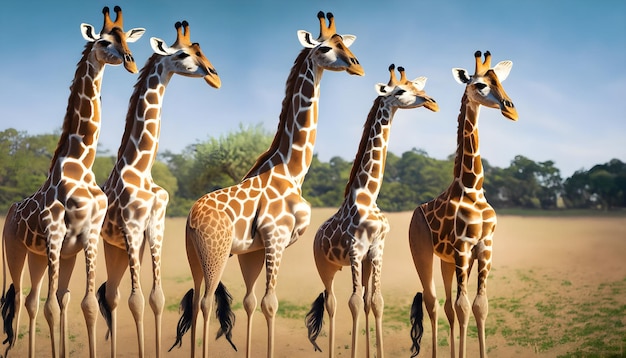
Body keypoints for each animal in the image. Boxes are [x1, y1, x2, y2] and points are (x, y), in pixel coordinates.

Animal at [0, 6, 144, 358]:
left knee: (34, 299)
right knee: (20, 299)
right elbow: (54, 306)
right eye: (104, 41)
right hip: (15, 250)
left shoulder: (87, 236)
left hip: (43, 255)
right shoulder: (55, 233)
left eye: (126, 38)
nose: (131, 61)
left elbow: (84, 303)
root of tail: (10, 211)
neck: (79, 165)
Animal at [97, 20, 222, 358]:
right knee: (111, 296)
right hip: (110, 244)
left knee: (112, 294)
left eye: (200, 49)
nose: (214, 76)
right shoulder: (130, 226)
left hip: (121, 248)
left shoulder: (155, 225)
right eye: (182, 54)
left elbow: (157, 298)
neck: (141, 168)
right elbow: (137, 300)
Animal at [169, 11, 366, 358]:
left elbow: (250, 302)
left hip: (194, 255)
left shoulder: (253, 249)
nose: (357, 65)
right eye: (326, 48)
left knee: (195, 301)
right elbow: (270, 303)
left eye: (345, 42)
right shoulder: (276, 237)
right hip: (214, 254)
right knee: (205, 302)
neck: (292, 170)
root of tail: (191, 219)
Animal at [304, 65, 436, 358]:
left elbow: (375, 301)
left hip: (360, 264)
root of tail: (315, 236)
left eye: (417, 86)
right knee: (332, 302)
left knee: (362, 300)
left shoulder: (375, 250)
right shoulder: (355, 248)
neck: (368, 194)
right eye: (400, 91)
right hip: (324, 265)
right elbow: (353, 302)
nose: (431, 102)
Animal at [404, 51, 516, 358]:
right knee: (432, 302)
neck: (473, 187)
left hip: (446, 260)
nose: (511, 109)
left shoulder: (485, 246)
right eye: (479, 84)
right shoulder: (464, 246)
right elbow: (465, 306)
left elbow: (479, 305)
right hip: (422, 251)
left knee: (446, 306)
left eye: (501, 81)